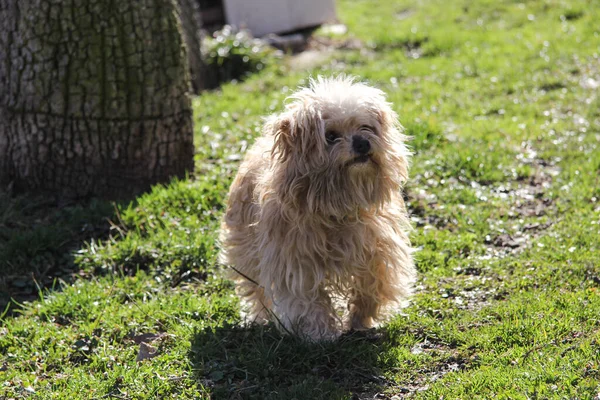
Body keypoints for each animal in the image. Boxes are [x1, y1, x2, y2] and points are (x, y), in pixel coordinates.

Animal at [220, 76, 418, 340]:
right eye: (331, 136)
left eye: (366, 127)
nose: (362, 143)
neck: (336, 206)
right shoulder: (294, 260)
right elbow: (306, 299)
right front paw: (320, 332)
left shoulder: (378, 248)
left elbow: (373, 285)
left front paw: (361, 319)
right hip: (246, 248)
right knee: (256, 288)